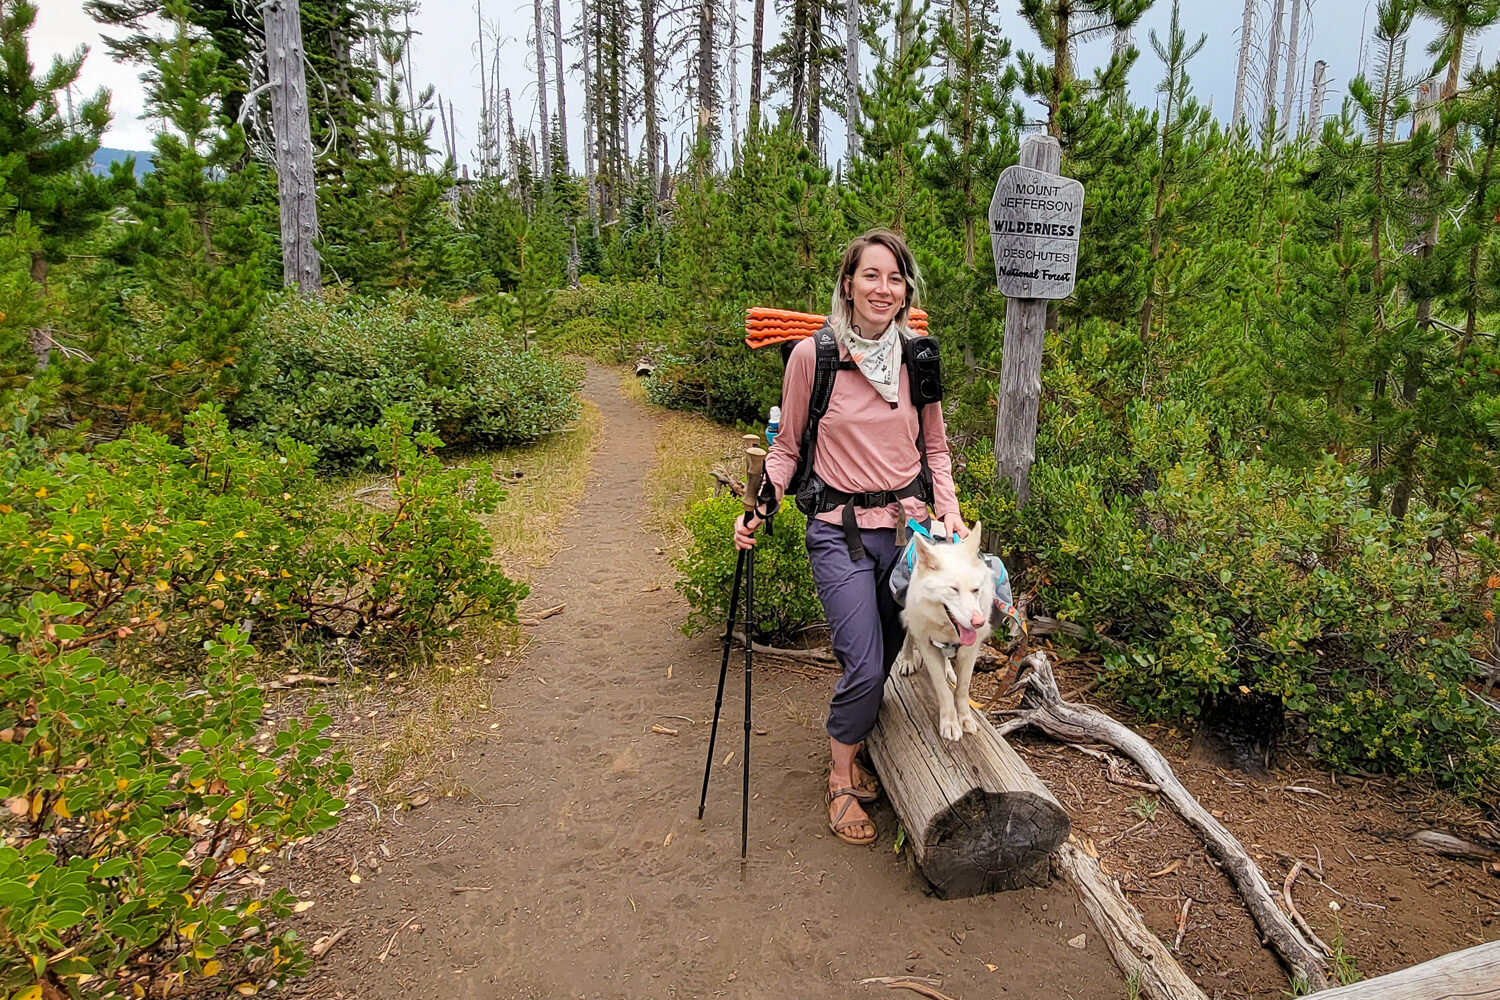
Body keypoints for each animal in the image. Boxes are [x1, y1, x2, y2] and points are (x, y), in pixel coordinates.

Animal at [888, 524, 996, 743]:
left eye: (975, 590)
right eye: (953, 589)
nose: (979, 622)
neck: (947, 628)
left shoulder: (969, 652)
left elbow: (962, 689)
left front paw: (965, 719)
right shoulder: (927, 645)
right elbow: (943, 690)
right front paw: (950, 723)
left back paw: (948, 669)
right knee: (910, 634)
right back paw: (907, 659)